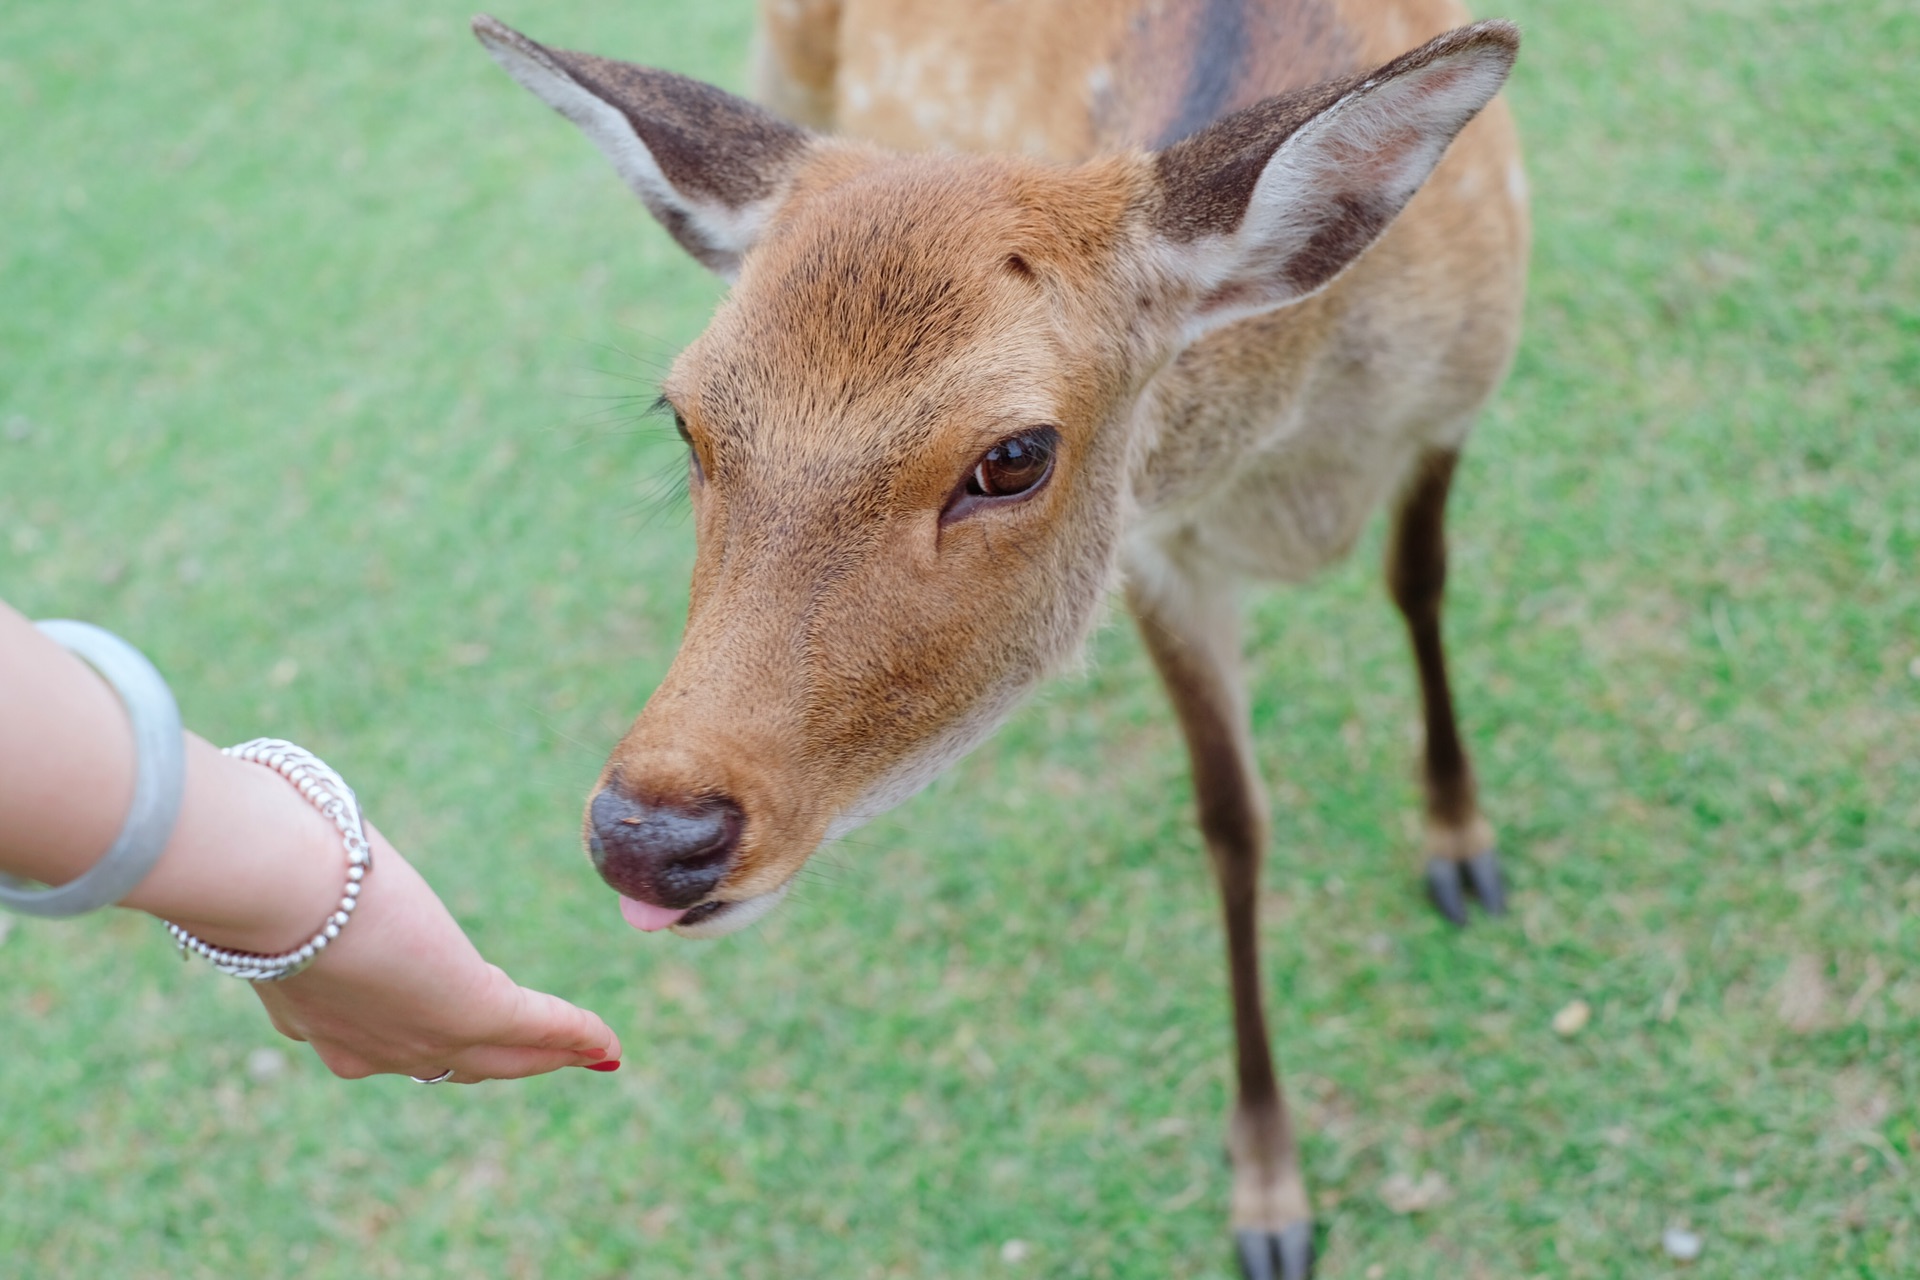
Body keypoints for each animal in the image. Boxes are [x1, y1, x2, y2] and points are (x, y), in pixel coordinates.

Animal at [480, 5, 1528, 1274]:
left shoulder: (1453, 406)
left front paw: (1460, 844)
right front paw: (1269, 1193)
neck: (1297, 460)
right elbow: (1231, 819)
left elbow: (1419, 585)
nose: (648, 834)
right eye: (684, 417)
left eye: (1015, 455)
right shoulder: (1151, 545)